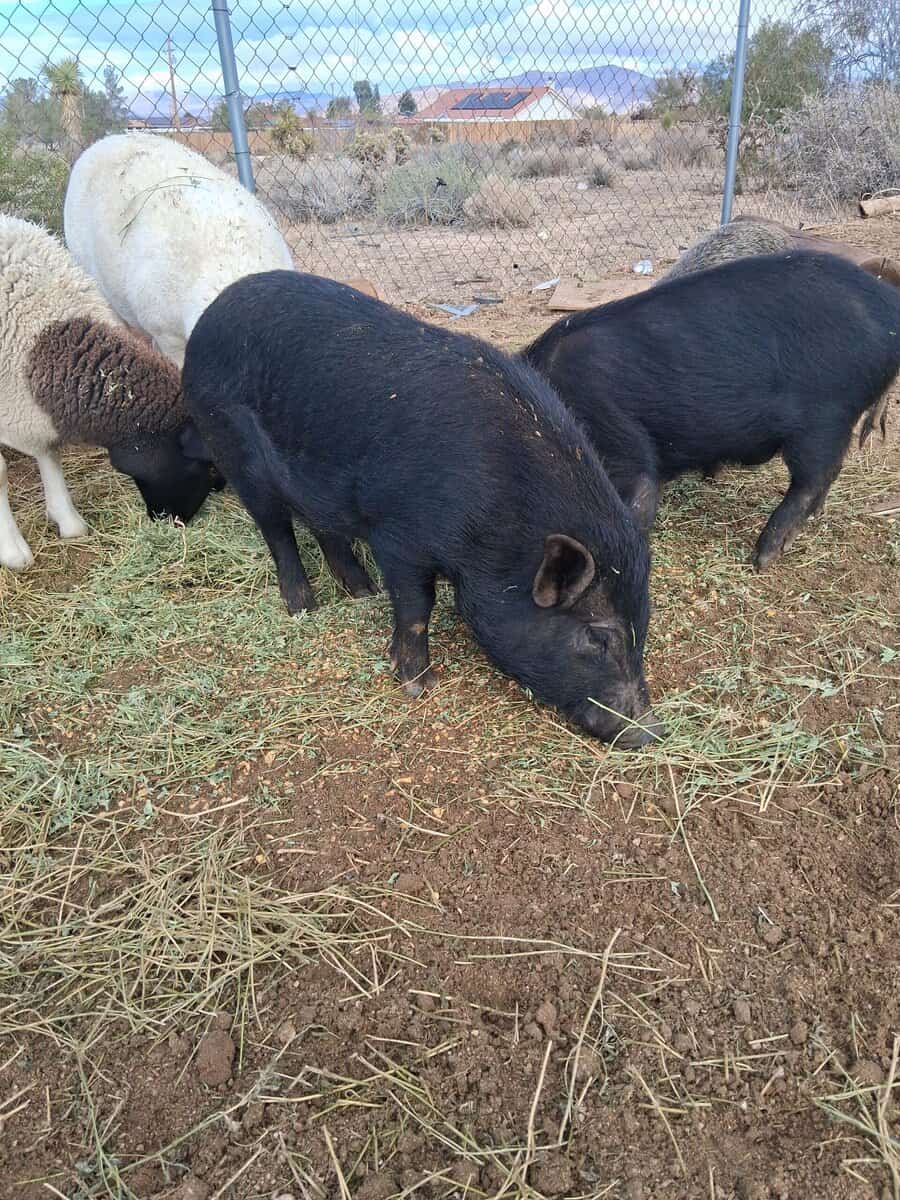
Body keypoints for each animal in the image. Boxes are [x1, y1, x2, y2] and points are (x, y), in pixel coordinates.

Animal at [178, 270, 663, 747]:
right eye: (597, 637)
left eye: (642, 623)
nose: (647, 732)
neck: (497, 519)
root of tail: (211, 314)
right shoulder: (396, 531)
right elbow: (416, 604)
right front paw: (416, 683)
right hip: (231, 447)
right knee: (275, 528)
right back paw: (303, 606)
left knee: (324, 528)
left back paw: (363, 590)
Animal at [523, 251, 899, 569]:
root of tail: (889, 308)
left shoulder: (613, 431)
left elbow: (640, 496)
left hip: (826, 417)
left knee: (814, 478)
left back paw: (762, 558)